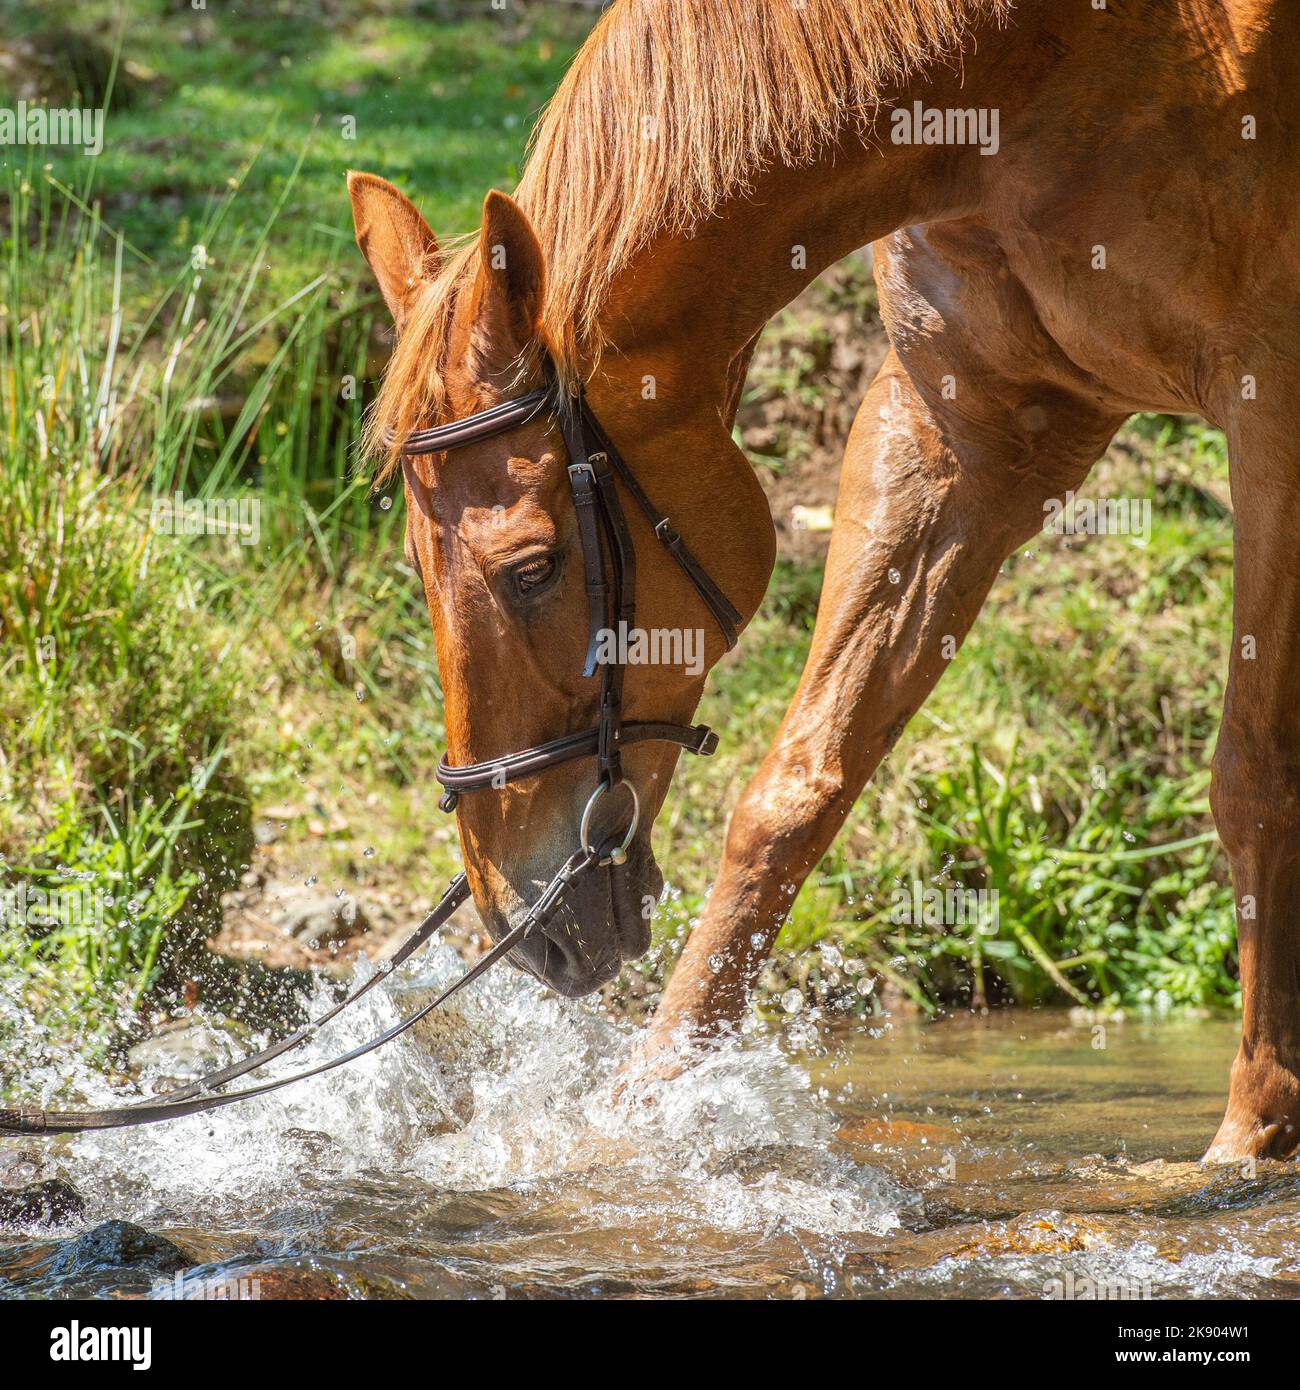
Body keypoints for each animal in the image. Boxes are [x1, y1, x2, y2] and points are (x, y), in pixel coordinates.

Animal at [350, 0, 1300, 1162]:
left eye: (531, 567)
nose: (522, 928)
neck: (1030, 67)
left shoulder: (1273, 406)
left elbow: (1255, 778)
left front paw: (1252, 1129)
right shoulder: (963, 431)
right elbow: (799, 785)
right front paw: (643, 1114)